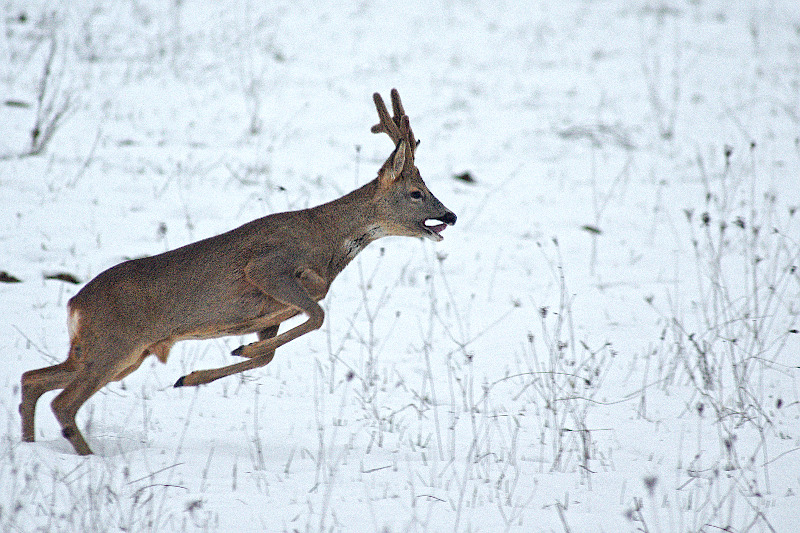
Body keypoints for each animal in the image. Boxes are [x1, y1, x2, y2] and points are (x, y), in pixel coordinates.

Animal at [18, 88, 456, 454]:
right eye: (416, 193)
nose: (450, 216)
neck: (326, 240)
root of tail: (75, 304)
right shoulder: (266, 268)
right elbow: (315, 314)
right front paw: (236, 349)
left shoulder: (273, 305)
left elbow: (272, 350)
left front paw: (201, 370)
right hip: (114, 344)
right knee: (63, 402)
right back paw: (86, 457)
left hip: (115, 354)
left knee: (32, 379)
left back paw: (29, 447)